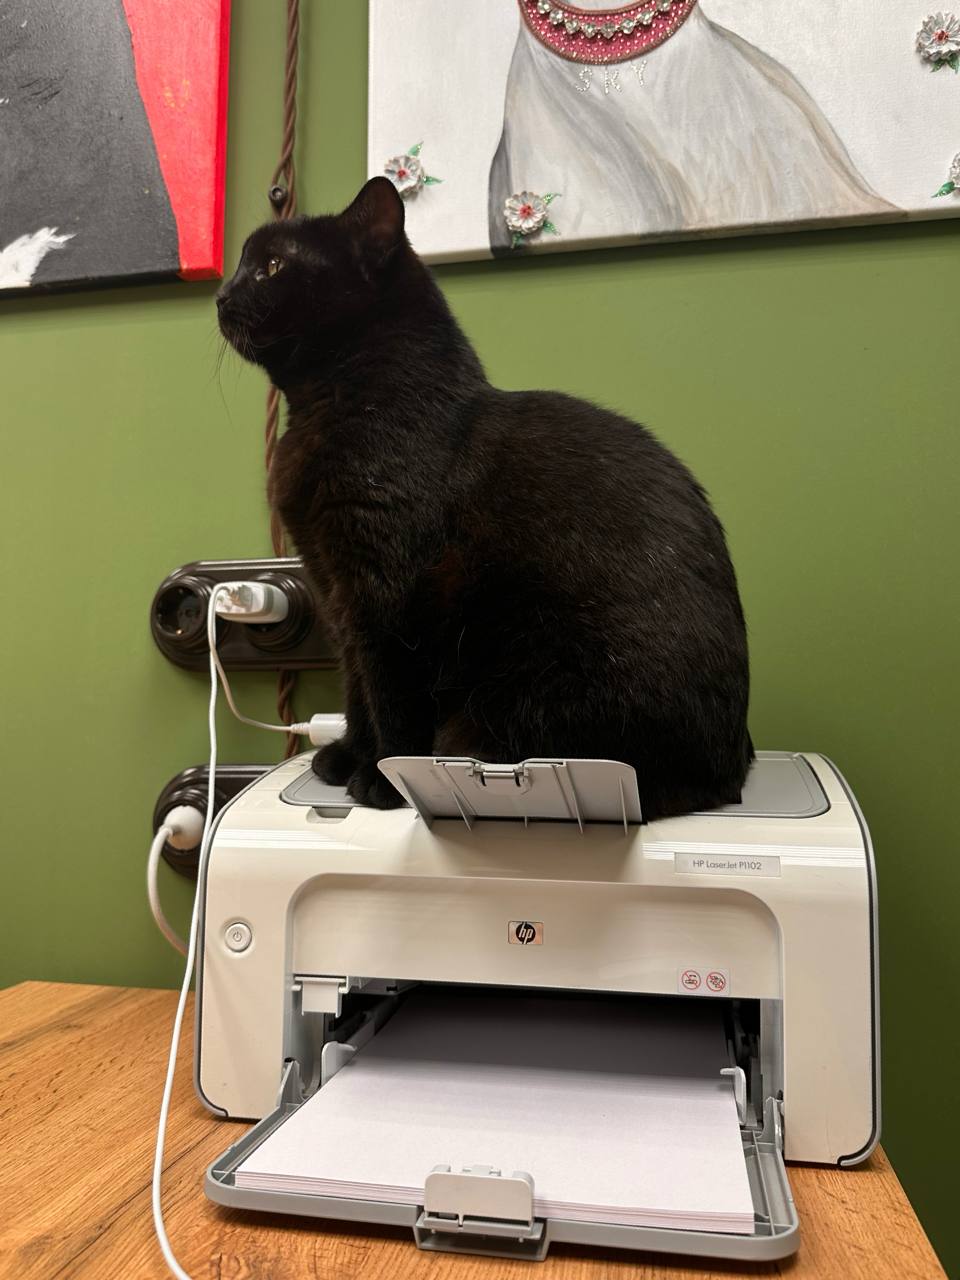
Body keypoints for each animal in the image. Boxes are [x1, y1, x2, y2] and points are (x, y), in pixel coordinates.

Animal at [217, 177, 753, 819]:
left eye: (272, 266)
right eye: (244, 263)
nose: (219, 295)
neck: (336, 403)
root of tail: (730, 776)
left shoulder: (384, 594)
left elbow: (389, 692)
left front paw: (383, 778)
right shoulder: (334, 587)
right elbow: (355, 686)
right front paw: (348, 756)